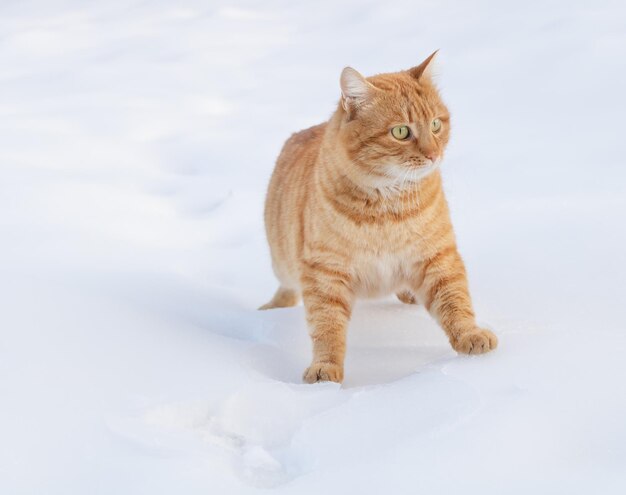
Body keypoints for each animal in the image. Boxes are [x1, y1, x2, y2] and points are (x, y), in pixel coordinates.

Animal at [260, 52, 498, 384]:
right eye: (401, 132)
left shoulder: (437, 255)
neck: (387, 209)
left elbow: (455, 300)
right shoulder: (324, 271)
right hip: (283, 264)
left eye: (436, 124)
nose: (434, 154)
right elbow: (326, 326)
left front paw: (470, 335)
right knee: (286, 289)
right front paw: (325, 369)